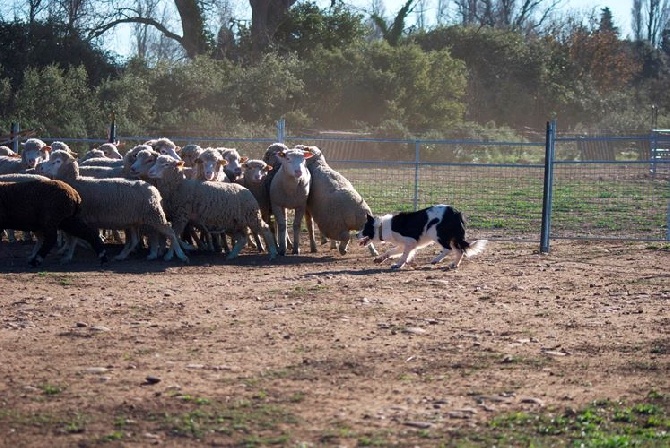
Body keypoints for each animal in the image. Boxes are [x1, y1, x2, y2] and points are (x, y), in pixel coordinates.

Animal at [36, 150, 189, 262]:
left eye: (57, 161)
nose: (41, 167)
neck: (75, 181)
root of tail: (153, 189)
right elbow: (70, 237)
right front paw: (67, 252)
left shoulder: (77, 218)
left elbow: (72, 239)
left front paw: (67, 256)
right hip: (134, 220)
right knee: (134, 240)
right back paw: (122, 256)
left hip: (154, 215)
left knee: (170, 232)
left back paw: (179, 255)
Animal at [147, 155, 278, 260]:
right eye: (156, 161)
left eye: (166, 164)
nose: (150, 172)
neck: (179, 186)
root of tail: (247, 191)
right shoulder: (179, 217)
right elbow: (174, 235)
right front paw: (186, 247)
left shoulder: (182, 216)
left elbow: (174, 234)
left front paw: (170, 255)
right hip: (233, 222)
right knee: (242, 239)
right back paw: (232, 255)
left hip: (251, 216)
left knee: (265, 229)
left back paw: (272, 253)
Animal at [356, 206, 488, 270]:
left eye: (364, 228)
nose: (356, 234)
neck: (382, 226)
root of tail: (456, 213)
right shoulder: (404, 244)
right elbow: (391, 251)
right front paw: (380, 259)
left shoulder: (410, 242)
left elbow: (404, 255)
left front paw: (398, 265)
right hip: (452, 238)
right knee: (459, 251)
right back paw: (454, 264)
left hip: (436, 233)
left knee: (448, 249)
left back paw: (436, 260)